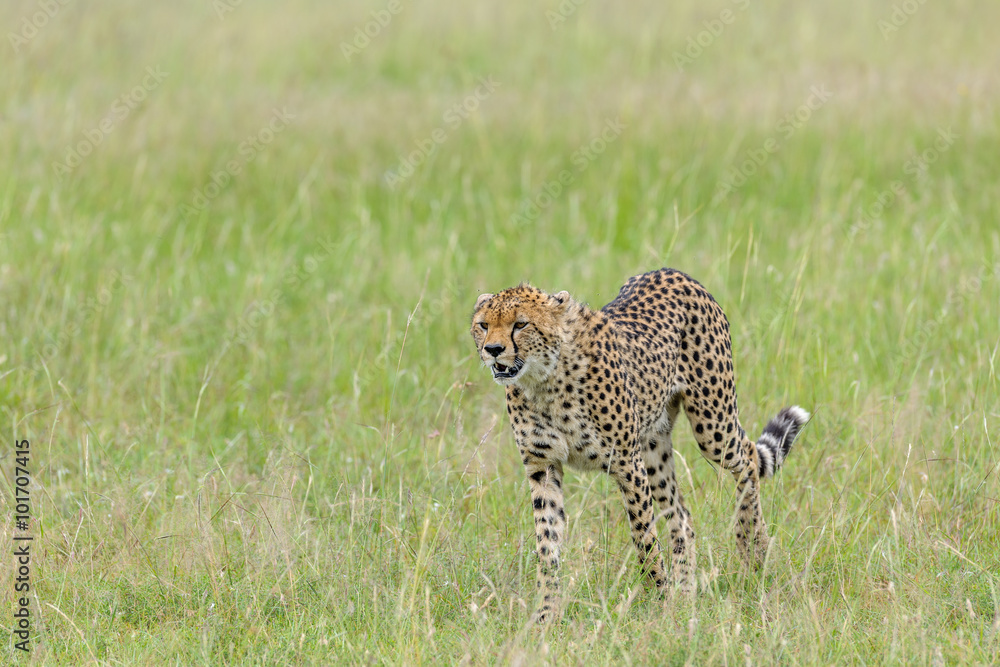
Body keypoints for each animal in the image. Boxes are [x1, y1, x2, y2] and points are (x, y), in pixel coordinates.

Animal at [470, 267, 809, 622]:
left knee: (747, 458)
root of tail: (672, 272)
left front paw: (658, 599)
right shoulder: (543, 466)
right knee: (682, 516)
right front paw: (545, 613)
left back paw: (753, 546)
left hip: (712, 426)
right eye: (483, 325)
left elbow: (643, 535)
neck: (544, 380)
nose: (493, 349)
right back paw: (686, 593)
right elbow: (547, 543)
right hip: (654, 449)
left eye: (520, 324)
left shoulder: (625, 463)